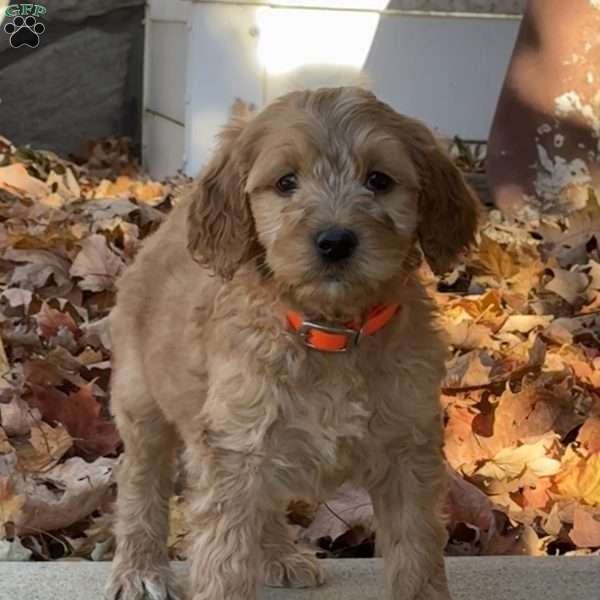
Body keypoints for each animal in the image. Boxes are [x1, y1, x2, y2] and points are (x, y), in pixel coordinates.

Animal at [104, 85, 478, 600]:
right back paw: (140, 569)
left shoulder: (409, 449)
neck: (331, 334)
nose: (335, 241)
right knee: (141, 477)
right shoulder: (235, 451)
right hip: (141, 398)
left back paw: (280, 555)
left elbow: (417, 552)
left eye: (379, 179)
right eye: (285, 183)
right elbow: (226, 560)